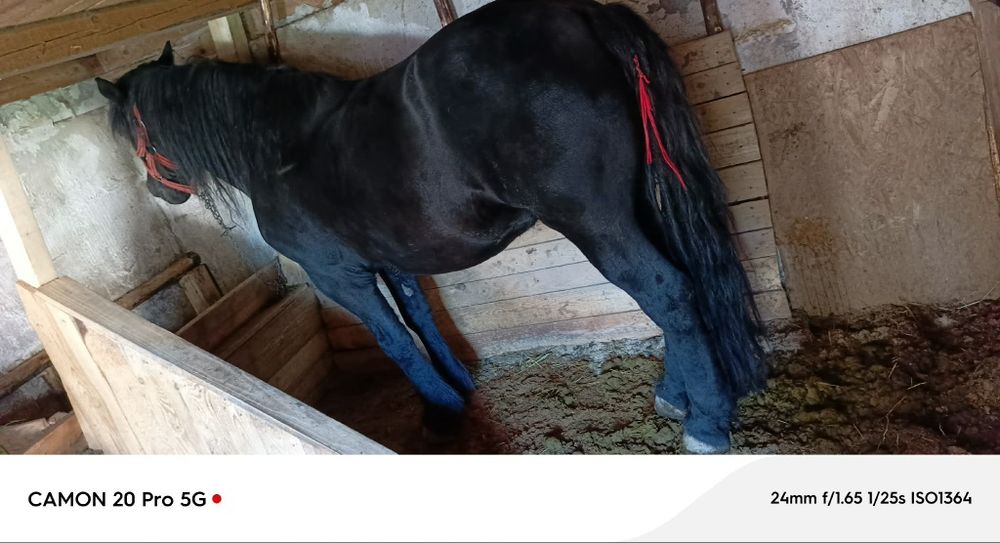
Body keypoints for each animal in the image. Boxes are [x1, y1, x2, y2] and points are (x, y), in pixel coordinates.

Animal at [95, 0, 766, 454]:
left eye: (133, 132)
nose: (159, 192)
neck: (276, 143)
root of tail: (582, 15)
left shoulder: (337, 274)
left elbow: (392, 338)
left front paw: (440, 408)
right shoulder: (390, 259)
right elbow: (420, 318)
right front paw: (459, 386)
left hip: (598, 223)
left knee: (667, 291)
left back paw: (706, 422)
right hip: (641, 205)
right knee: (682, 287)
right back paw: (676, 395)